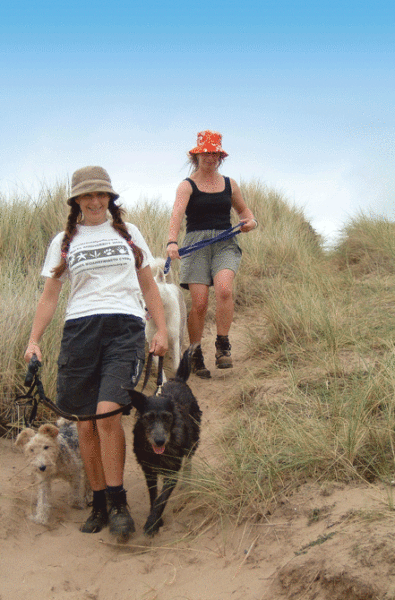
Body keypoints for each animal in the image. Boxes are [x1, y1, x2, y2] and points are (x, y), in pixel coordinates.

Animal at [127, 344, 201, 536]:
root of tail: (178, 379)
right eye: (148, 418)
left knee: (189, 461)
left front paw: (152, 523)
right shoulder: (149, 471)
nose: (159, 441)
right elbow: (154, 496)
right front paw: (156, 519)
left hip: (193, 440)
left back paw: (187, 482)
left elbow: (162, 498)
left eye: (167, 417)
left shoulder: (172, 472)